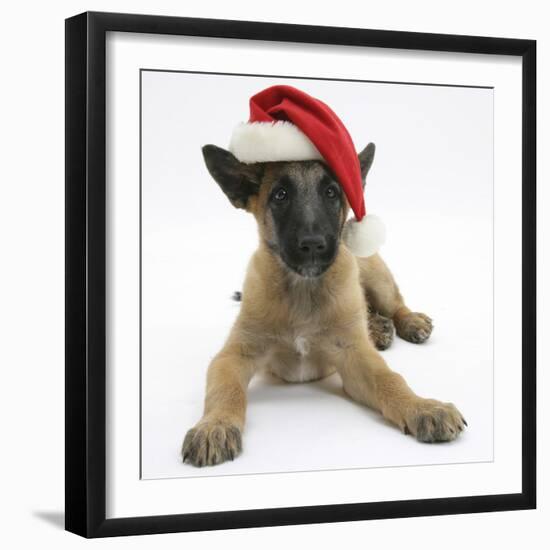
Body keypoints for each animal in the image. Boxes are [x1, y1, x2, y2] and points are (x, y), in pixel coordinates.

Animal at [183, 143, 468, 470]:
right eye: (280, 195)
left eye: (332, 192)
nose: (313, 244)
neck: (303, 290)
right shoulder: (233, 355)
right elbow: (225, 390)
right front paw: (214, 426)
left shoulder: (355, 357)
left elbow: (390, 381)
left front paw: (423, 408)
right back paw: (378, 329)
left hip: (374, 273)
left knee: (393, 303)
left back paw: (408, 322)